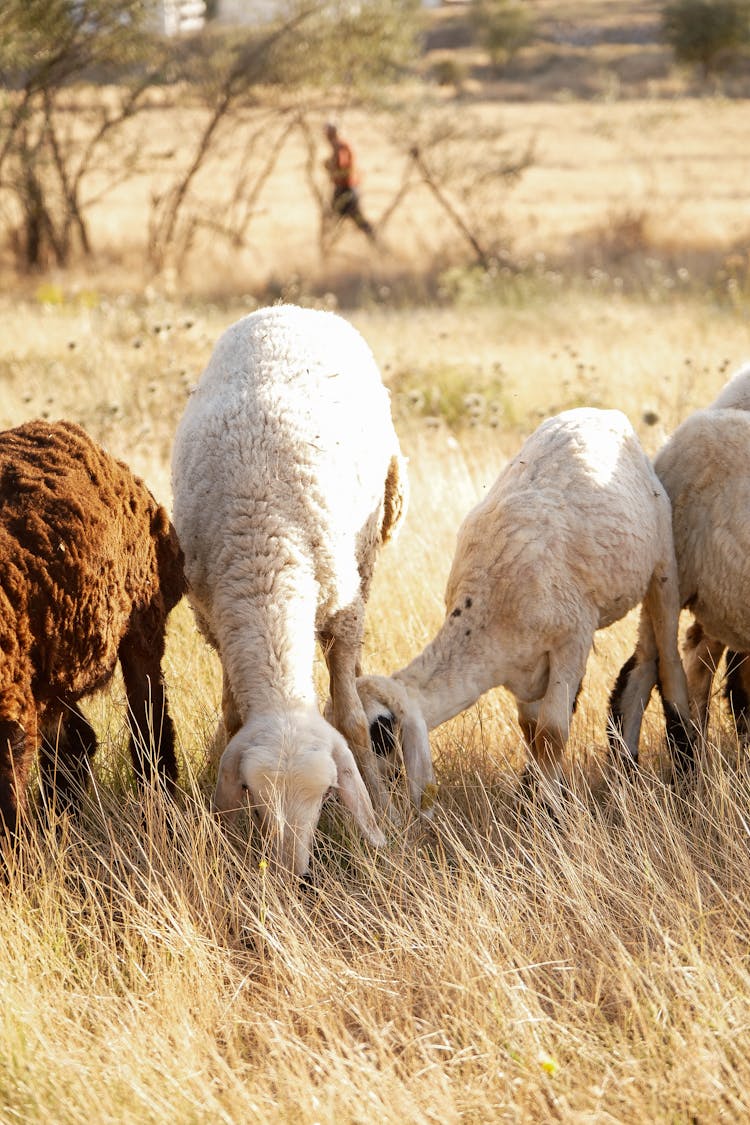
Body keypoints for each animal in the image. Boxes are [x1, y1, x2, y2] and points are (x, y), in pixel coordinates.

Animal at [0, 418, 185, 841]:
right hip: (58, 661)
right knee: (77, 743)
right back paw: (60, 822)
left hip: (142, 625)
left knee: (150, 725)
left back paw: (161, 818)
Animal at [172, 303, 427, 873]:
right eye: (251, 795)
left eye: (329, 795)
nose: (295, 878)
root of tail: (289, 307)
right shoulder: (216, 619)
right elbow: (232, 715)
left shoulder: (343, 610)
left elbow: (350, 722)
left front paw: (382, 811)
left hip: (367, 550)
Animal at [353, 409, 692, 805]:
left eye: (379, 735)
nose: (365, 796)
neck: (483, 619)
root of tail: (603, 413)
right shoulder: (523, 664)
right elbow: (530, 728)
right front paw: (533, 791)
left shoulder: (572, 640)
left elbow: (551, 731)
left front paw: (550, 806)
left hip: (663, 564)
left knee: (669, 657)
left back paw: (685, 751)